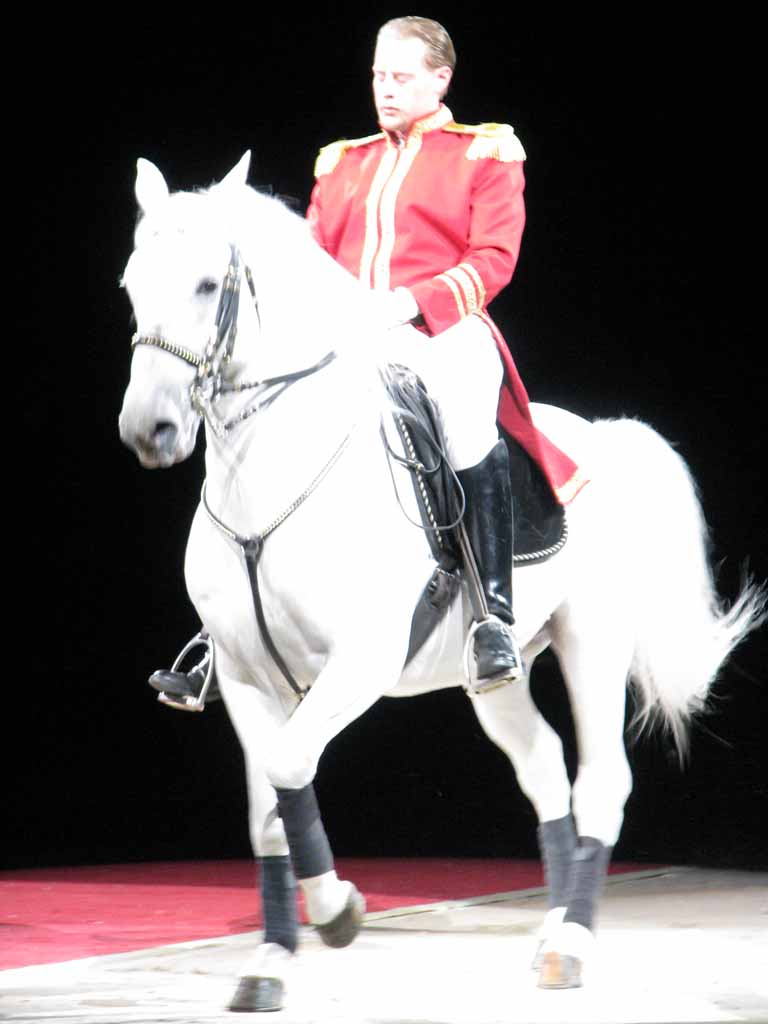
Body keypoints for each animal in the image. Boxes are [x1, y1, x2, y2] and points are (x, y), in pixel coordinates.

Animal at [118, 155, 765, 1011]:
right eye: (131, 285)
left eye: (202, 285)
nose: (148, 430)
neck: (271, 473)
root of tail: (600, 437)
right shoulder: (250, 681)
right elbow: (269, 812)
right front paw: (271, 961)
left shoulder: (358, 664)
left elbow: (290, 769)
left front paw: (338, 912)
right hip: (495, 674)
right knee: (543, 767)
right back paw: (550, 933)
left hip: (593, 645)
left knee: (602, 780)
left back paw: (572, 941)